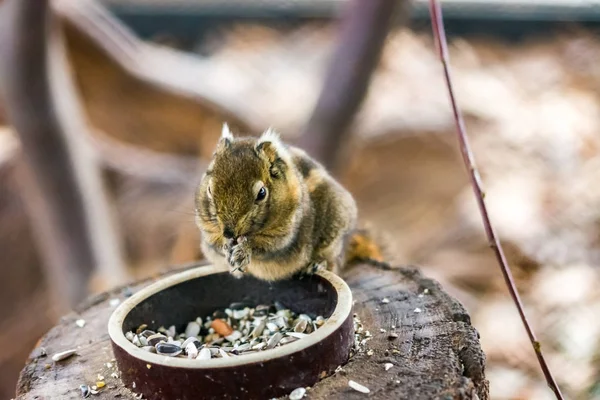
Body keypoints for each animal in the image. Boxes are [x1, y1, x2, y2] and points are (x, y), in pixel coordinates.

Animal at [195, 122, 386, 282]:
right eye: (210, 189)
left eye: (262, 193)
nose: (229, 232)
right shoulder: (208, 229)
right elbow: (215, 243)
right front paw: (226, 246)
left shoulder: (283, 233)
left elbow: (263, 246)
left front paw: (243, 251)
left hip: (334, 233)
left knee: (332, 261)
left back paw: (317, 264)